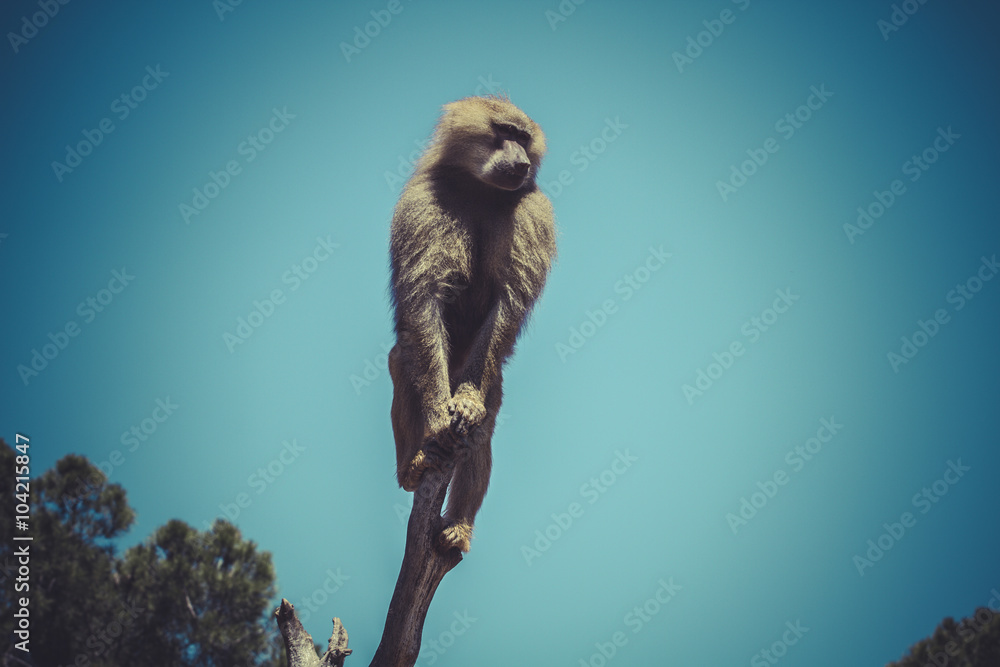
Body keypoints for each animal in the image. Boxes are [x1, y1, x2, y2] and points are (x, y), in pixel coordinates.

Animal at [388, 95, 556, 553]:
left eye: (524, 138)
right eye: (505, 132)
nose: (521, 163)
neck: (481, 189)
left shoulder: (533, 212)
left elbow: (507, 304)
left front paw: (465, 404)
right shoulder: (424, 201)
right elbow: (423, 300)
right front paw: (437, 420)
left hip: (489, 377)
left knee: (482, 429)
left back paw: (458, 526)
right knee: (403, 360)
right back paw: (414, 465)